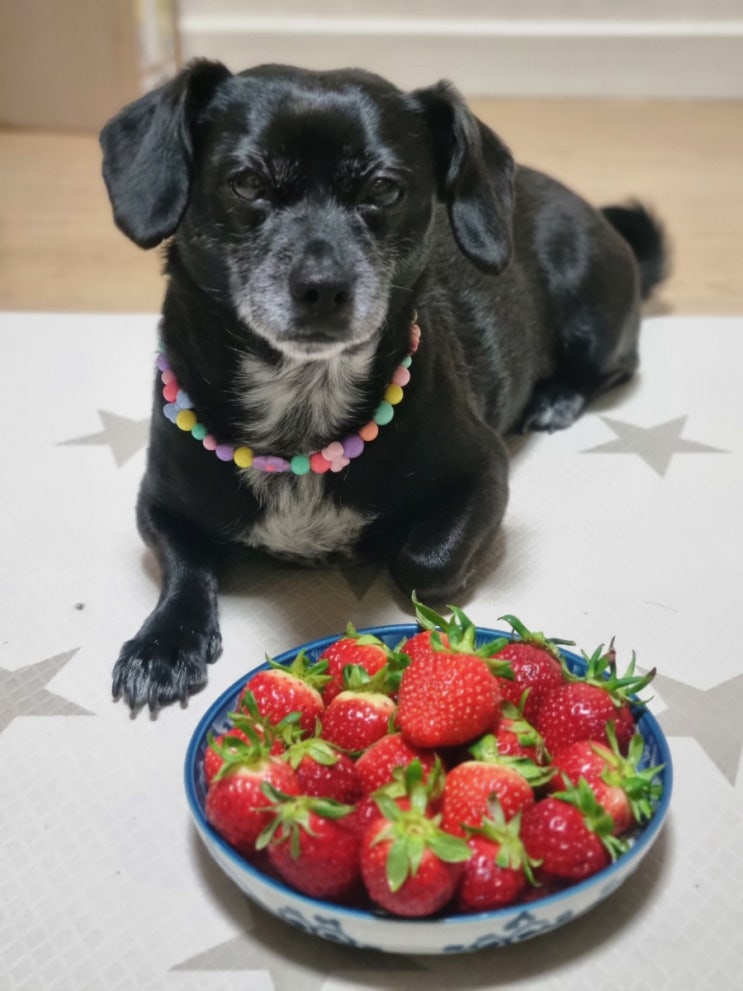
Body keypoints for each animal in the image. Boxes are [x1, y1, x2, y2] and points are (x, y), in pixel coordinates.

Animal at [100, 58, 668, 708]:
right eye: (245, 182)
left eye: (385, 190)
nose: (322, 287)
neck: (301, 396)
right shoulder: (157, 502)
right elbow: (185, 566)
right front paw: (163, 643)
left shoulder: (484, 471)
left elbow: (422, 563)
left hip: (588, 315)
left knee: (616, 365)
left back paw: (556, 397)